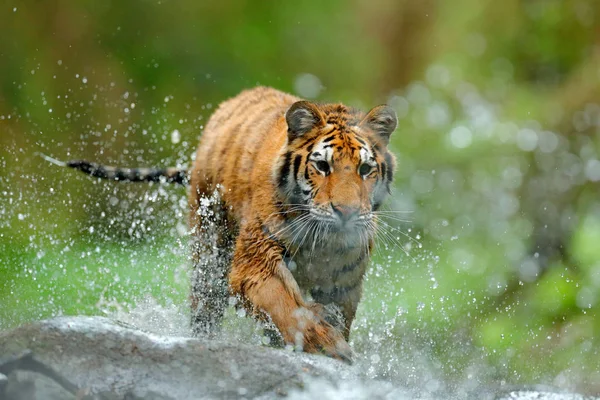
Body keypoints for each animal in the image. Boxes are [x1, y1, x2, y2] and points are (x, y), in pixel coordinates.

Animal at [48, 86, 398, 360]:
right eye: (323, 166)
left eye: (365, 170)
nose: (346, 212)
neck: (323, 242)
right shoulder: (256, 261)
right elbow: (286, 306)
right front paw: (328, 345)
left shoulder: (344, 283)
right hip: (209, 248)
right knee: (205, 307)